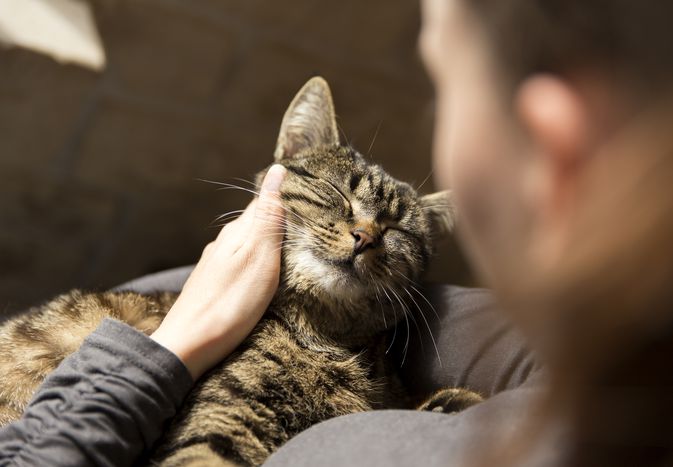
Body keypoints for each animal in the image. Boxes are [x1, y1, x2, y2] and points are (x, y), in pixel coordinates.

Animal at [0, 78, 480, 466]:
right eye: (337, 191)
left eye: (397, 229)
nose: (364, 236)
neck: (326, 338)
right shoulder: (221, 420)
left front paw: (451, 404)